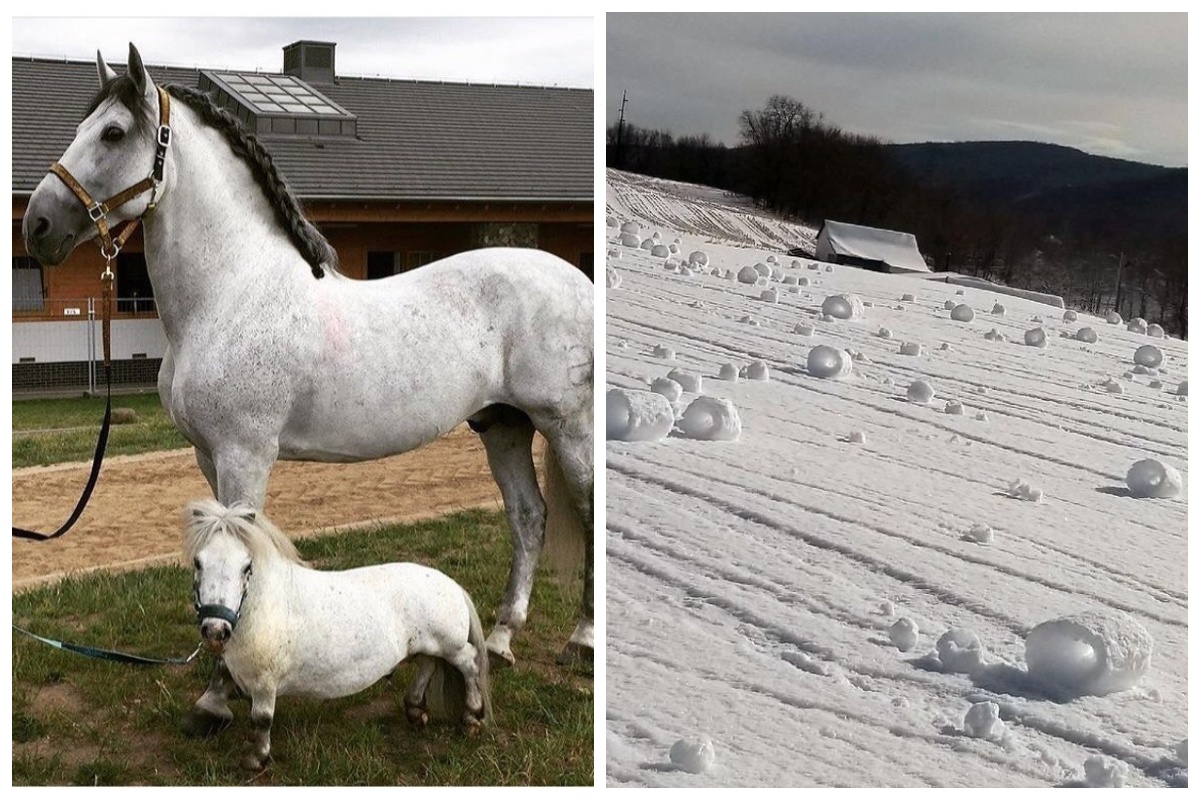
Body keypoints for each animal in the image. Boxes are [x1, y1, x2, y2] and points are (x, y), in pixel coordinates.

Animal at [23, 42, 595, 734]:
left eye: (111, 132)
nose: (37, 225)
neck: (231, 292)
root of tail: (580, 283)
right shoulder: (208, 456)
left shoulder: (244, 455)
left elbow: (237, 543)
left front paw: (216, 698)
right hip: (502, 425)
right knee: (529, 516)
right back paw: (506, 639)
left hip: (568, 425)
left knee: (587, 514)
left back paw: (583, 641)